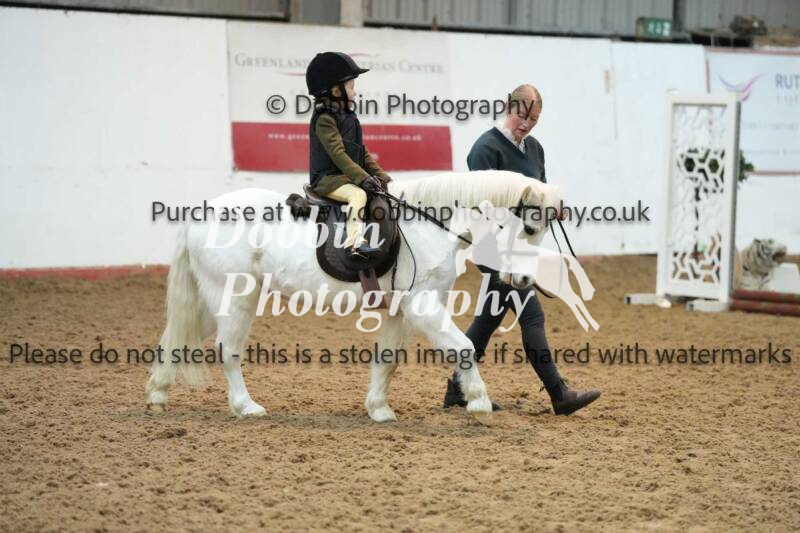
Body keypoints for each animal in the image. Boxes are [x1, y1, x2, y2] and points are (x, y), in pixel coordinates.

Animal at [145, 170, 561, 421]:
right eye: (529, 227)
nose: (524, 279)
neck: (431, 224)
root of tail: (202, 214)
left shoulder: (399, 310)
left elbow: (387, 359)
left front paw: (379, 409)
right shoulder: (422, 307)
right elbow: (462, 347)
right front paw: (478, 401)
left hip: (208, 298)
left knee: (176, 338)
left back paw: (158, 394)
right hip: (233, 297)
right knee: (227, 350)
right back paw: (245, 406)